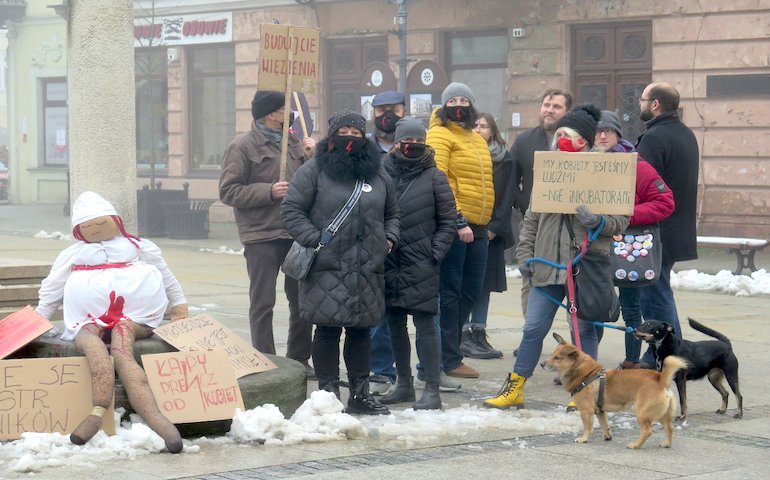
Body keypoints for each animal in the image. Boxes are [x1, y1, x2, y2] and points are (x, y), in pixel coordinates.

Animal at [540, 332, 684, 448]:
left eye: (557, 358)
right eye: (552, 355)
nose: (541, 364)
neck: (586, 373)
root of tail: (660, 379)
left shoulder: (586, 411)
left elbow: (588, 427)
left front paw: (584, 438)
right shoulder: (600, 412)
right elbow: (605, 425)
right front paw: (608, 436)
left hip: (642, 413)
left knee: (647, 431)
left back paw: (636, 445)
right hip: (663, 414)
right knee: (670, 428)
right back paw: (666, 443)